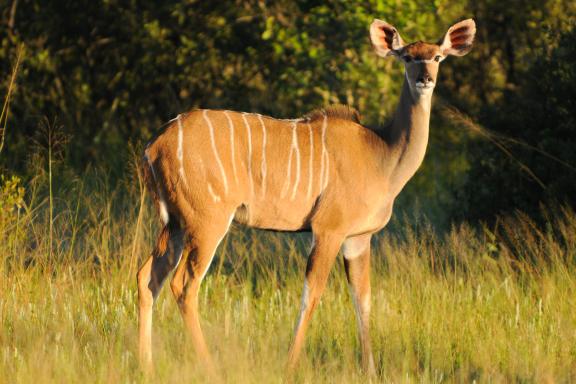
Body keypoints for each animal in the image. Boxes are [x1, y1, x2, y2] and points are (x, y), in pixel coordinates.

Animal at [136, 18, 476, 376]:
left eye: (437, 57)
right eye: (408, 57)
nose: (425, 79)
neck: (382, 154)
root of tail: (154, 146)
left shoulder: (359, 237)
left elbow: (363, 299)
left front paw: (370, 371)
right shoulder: (328, 229)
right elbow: (311, 294)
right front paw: (290, 365)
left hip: (175, 223)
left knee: (148, 277)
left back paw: (146, 365)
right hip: (206, 222)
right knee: (184, 285)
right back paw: (211, 367)